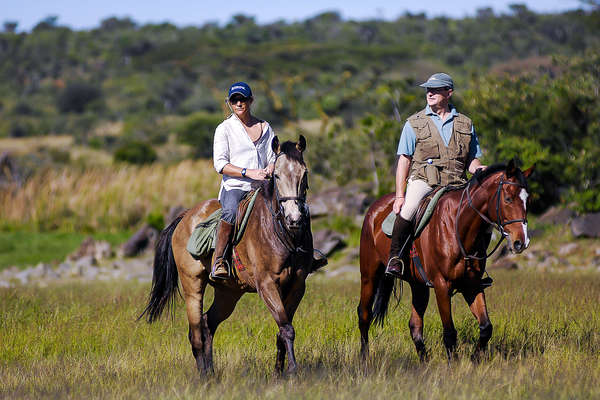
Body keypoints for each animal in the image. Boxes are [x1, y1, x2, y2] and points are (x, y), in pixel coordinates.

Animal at [140, 135, 314, 376]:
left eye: (304, 173)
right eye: (276, 175)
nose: (294, 218)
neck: (283, 233)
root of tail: (184, 217)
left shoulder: (298, 285)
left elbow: (283, 329)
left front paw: (279, 373)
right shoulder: (267, 284)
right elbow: (286, 328)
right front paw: (293, 371)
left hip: (228, 293)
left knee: (208, 324)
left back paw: (211, 373)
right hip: (193, 286)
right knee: (196, 333)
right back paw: (203, 376)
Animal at [358, 161, 532, 360]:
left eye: (528, 200)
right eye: (508, 199)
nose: (521, 242)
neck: (457, 227)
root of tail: (374, 208)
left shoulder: (472, 285)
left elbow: (486, 327)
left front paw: (474, 359)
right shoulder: (442, 285)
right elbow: (449, 332)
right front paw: (453, 364)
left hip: (418, 285)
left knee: (415, 325)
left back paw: (424, 362)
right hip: (369, 275)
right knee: (364, 314)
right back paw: (364, 358)